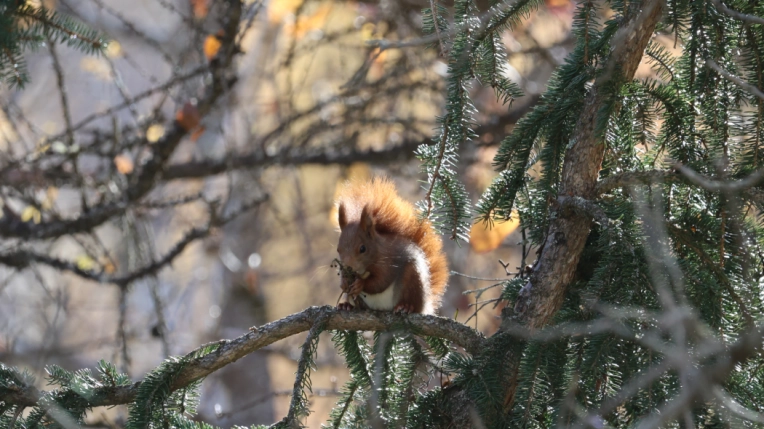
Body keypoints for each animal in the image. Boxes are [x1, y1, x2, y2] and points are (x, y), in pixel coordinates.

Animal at [332, 176, 448, 312]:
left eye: (362, 248)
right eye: (338, 249)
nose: (348, 267)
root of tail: (425, 305)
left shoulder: (389, 262)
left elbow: (380, 282)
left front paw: (361, 284)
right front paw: (344, 283)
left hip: (413, 278)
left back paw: (406, 307)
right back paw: (346, 305)